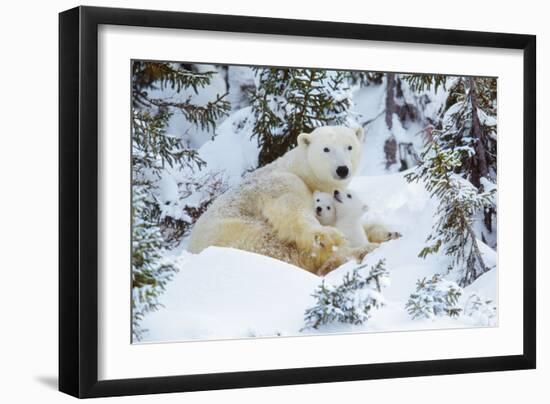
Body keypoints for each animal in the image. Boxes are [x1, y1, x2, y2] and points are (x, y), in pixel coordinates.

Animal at [188, 126, 386, 274]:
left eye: (349, 146)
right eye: (326, 149)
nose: (342, 169)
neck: (301, 171)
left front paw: (386, 231)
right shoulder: (281, 183)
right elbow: (292, 212)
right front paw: (329, 236)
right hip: (240, 233)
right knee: (281, 248)